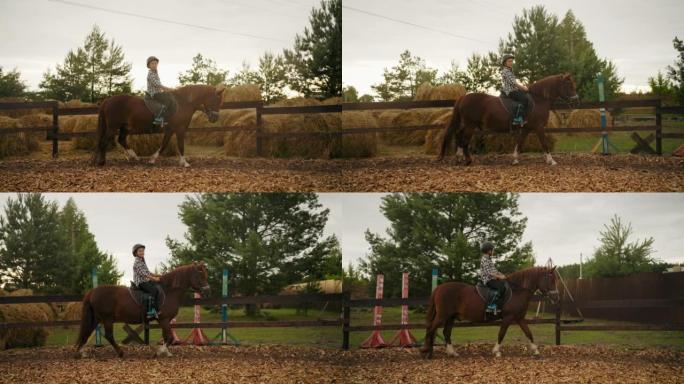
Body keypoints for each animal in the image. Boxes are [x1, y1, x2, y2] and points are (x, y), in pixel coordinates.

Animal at [73, 262, 210, 358]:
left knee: (87, 332)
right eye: (200, 275)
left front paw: (166, 352)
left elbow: (166, 337)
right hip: (107, 318)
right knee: (108, 335)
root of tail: (92, 291)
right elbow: (170, 337)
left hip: (97, 318)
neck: (169, 291)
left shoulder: (163, 321)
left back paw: (81, 352)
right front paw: (159, 352)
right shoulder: (164, 320)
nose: (207, 291)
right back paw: (120, 352)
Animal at [93, 85, 226, 166]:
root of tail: (108, 100)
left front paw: (152, 159)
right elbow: (180, 146)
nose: (215, 118)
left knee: (121, 140)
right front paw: (185, 163)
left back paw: (134, 157)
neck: (183, 103)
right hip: (113, 127)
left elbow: (164, 145)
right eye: (216, 100)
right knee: (104, 141)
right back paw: (102, 162)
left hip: (125, 127)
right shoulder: (180, 129)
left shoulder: (170, 130)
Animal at [420, 266, 560, 358]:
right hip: (443, 316)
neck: (517, 291)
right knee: (431, 328)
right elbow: (501, 334)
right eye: (551, 280)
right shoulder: (508, 318)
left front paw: (536, 351)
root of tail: (439, 288)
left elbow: (529, 333)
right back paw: (426, 351)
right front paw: (496, 351)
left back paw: (451, 352)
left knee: (446, 332)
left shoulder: (519, 318)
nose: (556, 297)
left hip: (451, 317)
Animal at [438, 74, 576, 166]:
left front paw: (515, 159)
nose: (576, 99)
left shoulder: (526, 129)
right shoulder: (539, 127)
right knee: (464, 140)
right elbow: (544, 144)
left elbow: (519, 144)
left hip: (468, 124)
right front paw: (551, 161)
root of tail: (463, 97)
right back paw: (467, 160)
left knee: (459, 136)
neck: (538, 99)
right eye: (568, 84)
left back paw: (459, 158)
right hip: (470, 125)